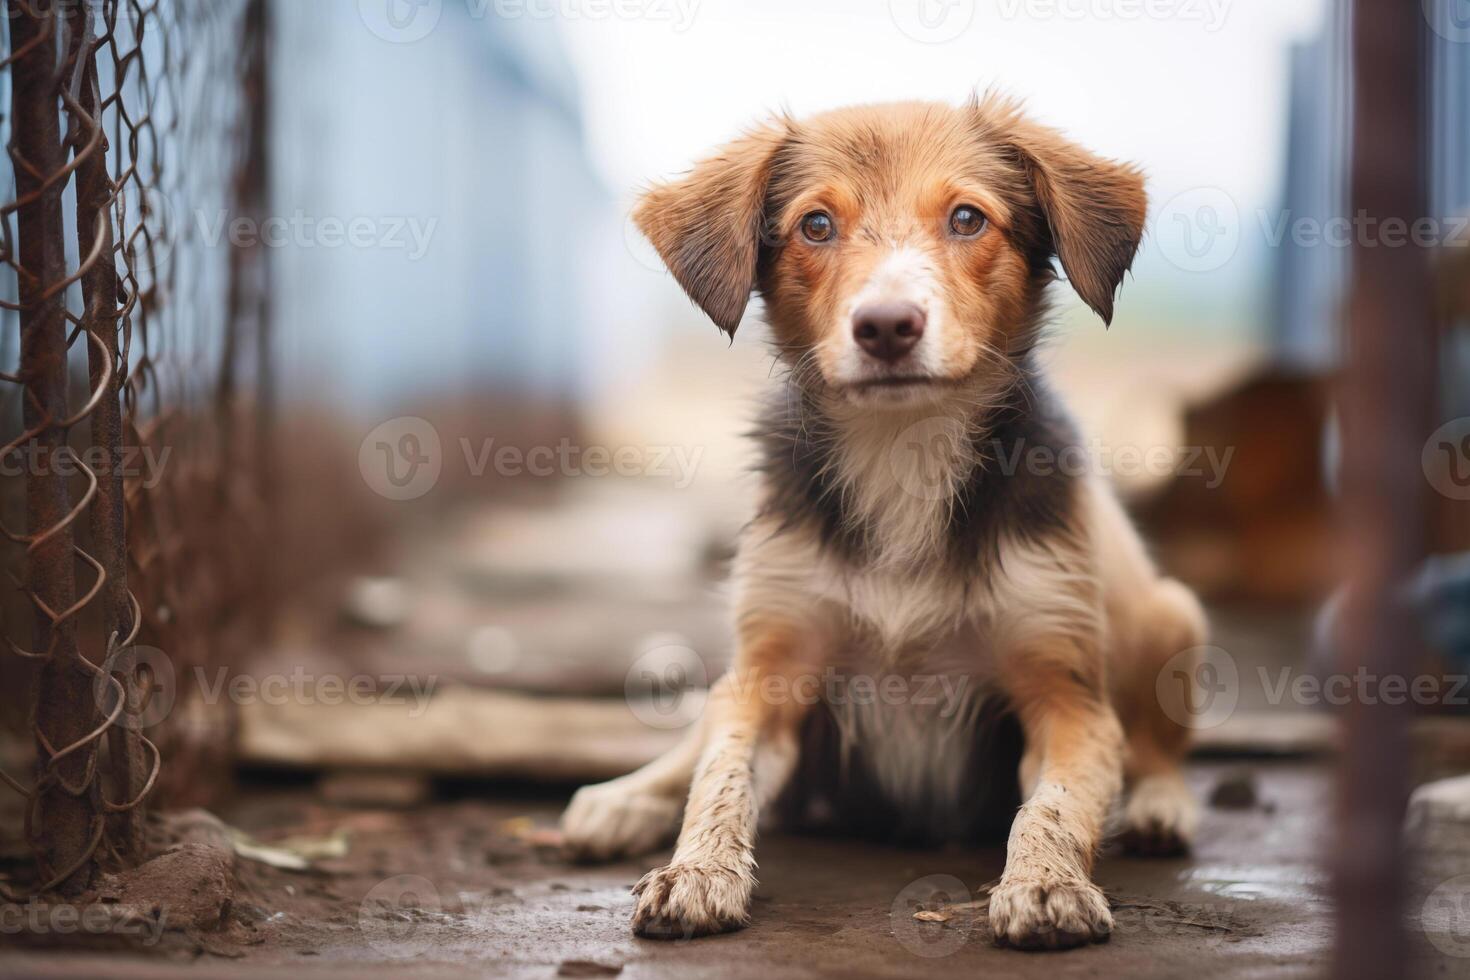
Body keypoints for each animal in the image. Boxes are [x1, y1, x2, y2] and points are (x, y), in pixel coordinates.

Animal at [561, 91, 1205, 952]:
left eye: (967, 218)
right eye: (815, 225)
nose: (888, 326)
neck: (902, 450)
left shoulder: (1067, 696)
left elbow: (1054, 807)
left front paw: (1044, 884)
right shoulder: (769, 667)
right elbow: (720, 776)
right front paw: (695, 870)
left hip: (1167, 613)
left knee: (1159, 743)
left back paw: (1161, 805)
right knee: (697, 739)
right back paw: (625, 799)